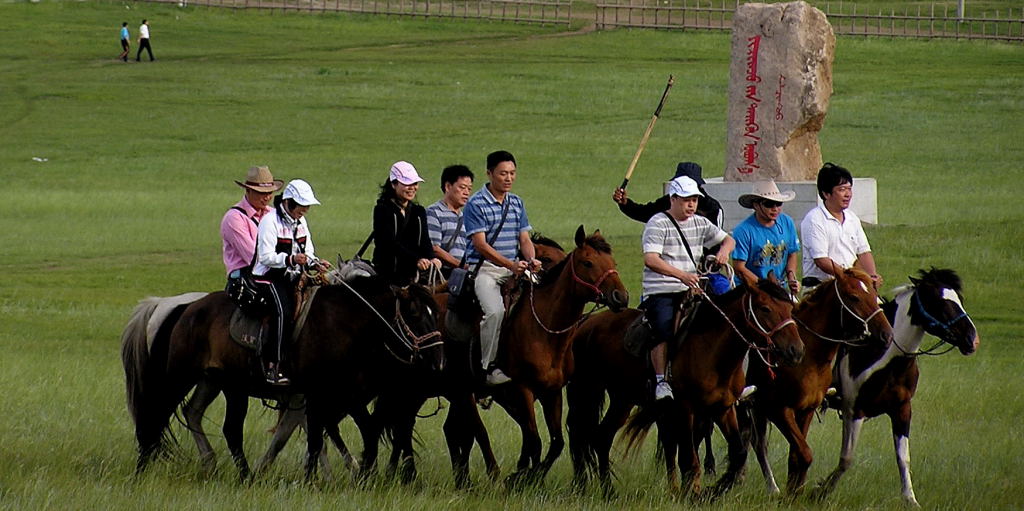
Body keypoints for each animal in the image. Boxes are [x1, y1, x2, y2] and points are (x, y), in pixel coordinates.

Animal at [614, 276, 806, 499]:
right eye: (765, 308)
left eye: (790, 308)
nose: (796, 350)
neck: (712, 349)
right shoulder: (686, 408)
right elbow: (689, 459)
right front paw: (696, 493)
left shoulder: (724, 408)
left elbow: (738, 453)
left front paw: (715, 488)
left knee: (669, 445)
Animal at [745, 270, 897, 497]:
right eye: (854, 297)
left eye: (873, 292)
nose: (886, 334)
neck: (808, 355)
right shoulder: (779, 410)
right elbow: (805, 453)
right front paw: (794, 493)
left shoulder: (806, 410)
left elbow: (796, 455)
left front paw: (795, 491)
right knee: (758, 443)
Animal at [811, 268, 978, 507]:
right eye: (940, 303)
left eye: (960, 300)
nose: (972, 339)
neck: (888, 358)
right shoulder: (854, 410)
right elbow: (846, 458)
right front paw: (819, 492)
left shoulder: (902, 410)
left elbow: (903, 457)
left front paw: (910, 499)